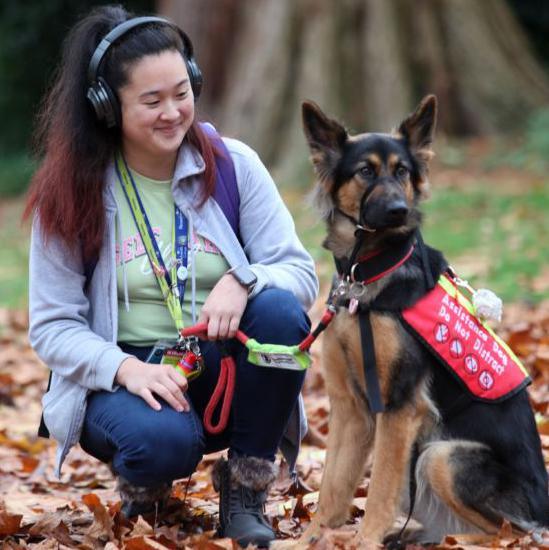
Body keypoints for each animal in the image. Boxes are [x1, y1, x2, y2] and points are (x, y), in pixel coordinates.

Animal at [300, 96, 548, 548]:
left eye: (402, 171)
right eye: (366, 171)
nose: (400, 210)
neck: (366, 277)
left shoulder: (399, 406)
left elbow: (379, 489)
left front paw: (365, 540)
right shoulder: (350, 409)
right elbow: (332, 487)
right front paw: (305, 538)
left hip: (442, 457)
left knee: (505, 533)